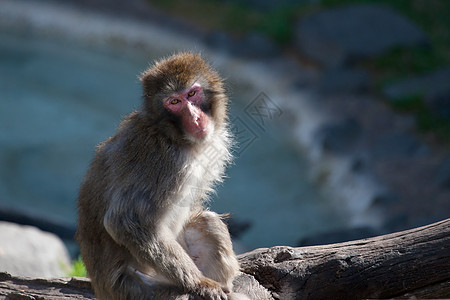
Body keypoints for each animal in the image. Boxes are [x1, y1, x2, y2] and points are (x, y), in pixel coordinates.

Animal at [75, 52, 248, 298]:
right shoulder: (161, 162)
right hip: (134, 289)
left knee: (207, 220)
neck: (176, 138)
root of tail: (102, 290)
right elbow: (125, 220)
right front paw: (200, 283)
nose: (195, 118)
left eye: (192, 94)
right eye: (174, 102)